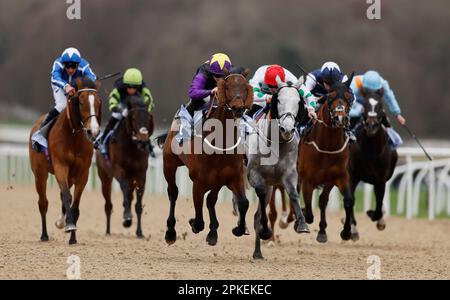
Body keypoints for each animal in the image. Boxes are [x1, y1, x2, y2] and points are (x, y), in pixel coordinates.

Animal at [29, 77, 101, 244]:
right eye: (81, 101)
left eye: (98, 102)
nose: (93, 131)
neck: (73, 136)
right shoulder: (60, 166)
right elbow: (67, 197)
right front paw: (69, 225)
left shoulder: (83, 173)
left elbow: (75, 204)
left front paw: (72, 236)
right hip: (40, 174)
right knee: (43, 202)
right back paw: (44, 235)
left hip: (70, 176)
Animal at [96, 95, 154, 238]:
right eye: (133, 118)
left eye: (148, 118)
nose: (143, 141)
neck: (132, 147)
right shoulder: (119, 170)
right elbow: (125, 190)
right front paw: (127, 218)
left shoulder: (140, 175)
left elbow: (138, 205)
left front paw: (139, 232)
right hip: (105, 177)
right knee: (108, 204)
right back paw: (108, 231)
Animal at [159, 69, 255, 246]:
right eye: (227, 86)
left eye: (245, 87)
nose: (238, 108)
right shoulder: (199, 182)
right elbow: (198, 217)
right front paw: (194, 224)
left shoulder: (233, 177)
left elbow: (243, 203)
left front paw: (237, 229)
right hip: (168, 164)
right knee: (173, 193)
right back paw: (170, 232)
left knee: (211, 199)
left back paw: (213, 232)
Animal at [298, 73, 356, 244]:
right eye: (330, 97)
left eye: (350, 97)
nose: (340, 119)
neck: (327, 147)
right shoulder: (308, 180)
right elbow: (308, 213)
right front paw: (301, 216)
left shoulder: (340, 176)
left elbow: (348, 201)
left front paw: (346, 232)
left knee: (323, 200)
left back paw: (322, 231)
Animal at [348, 89, 398, 232]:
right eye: (364, 106)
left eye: (381, 106)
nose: (371, 125)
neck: (371, 152)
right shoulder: (352, 174)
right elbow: (350, 199)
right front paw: (351, 227)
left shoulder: (380, 179)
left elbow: (379, 203)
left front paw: (375, 216)